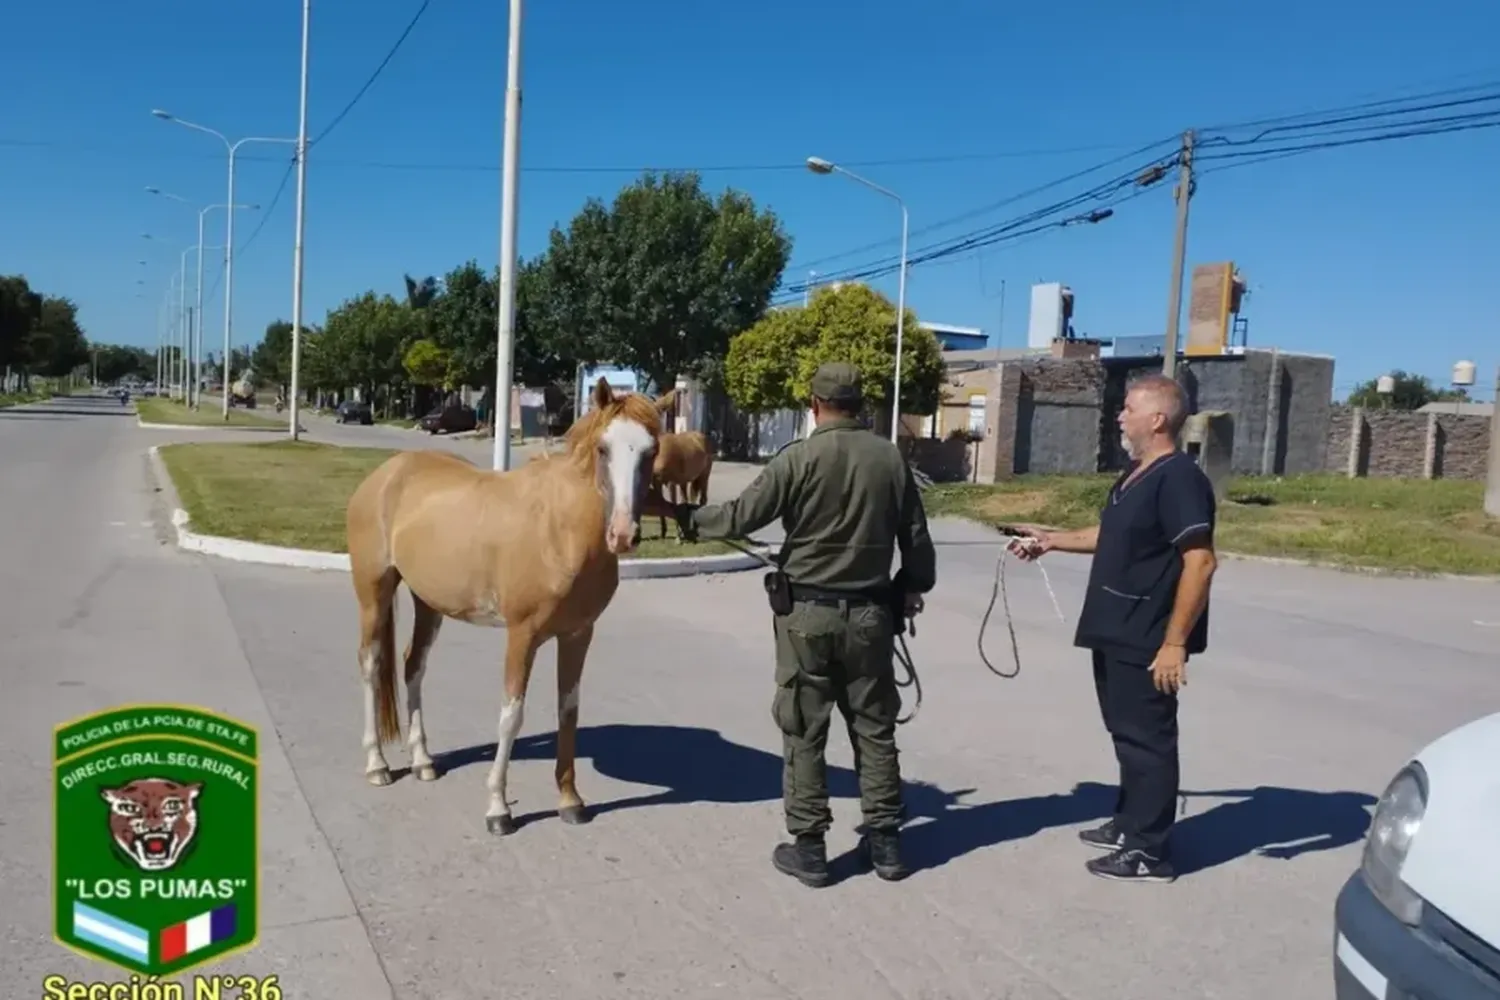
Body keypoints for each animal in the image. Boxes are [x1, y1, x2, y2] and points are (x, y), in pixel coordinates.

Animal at [345, 379, 675, 833]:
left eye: (651, 449)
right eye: (603, 449)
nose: (623, 534)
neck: (560, 529)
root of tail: (386, 475)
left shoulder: (578, 635)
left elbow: (568, 711)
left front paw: (570, 801)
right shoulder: (523, 635)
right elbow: (511, 715)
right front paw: (498, 808)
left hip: (428, 601)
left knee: (413, 666)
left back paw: (423, 761)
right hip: (373, 592)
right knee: (371, 664)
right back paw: (377, 764)